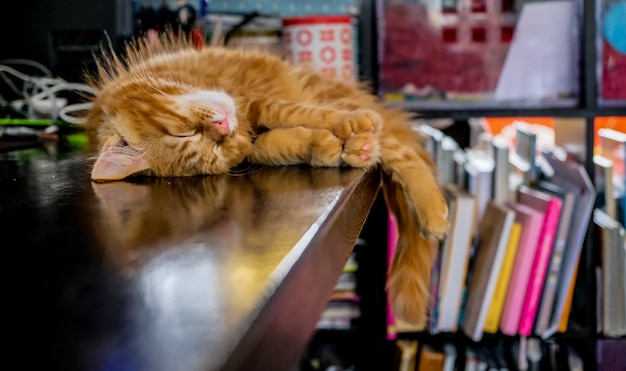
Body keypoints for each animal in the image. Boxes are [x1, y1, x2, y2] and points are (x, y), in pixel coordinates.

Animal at [84, 34, 448, 328]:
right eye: (212, 148)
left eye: (183, 133)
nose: (222, 127)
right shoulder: (251, 143)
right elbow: (283, 144)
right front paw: (323, 146)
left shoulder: (252, 104)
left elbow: (306, 114)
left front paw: (341, 127)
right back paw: (357, 149)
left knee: (399, 150)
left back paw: (430, 208)